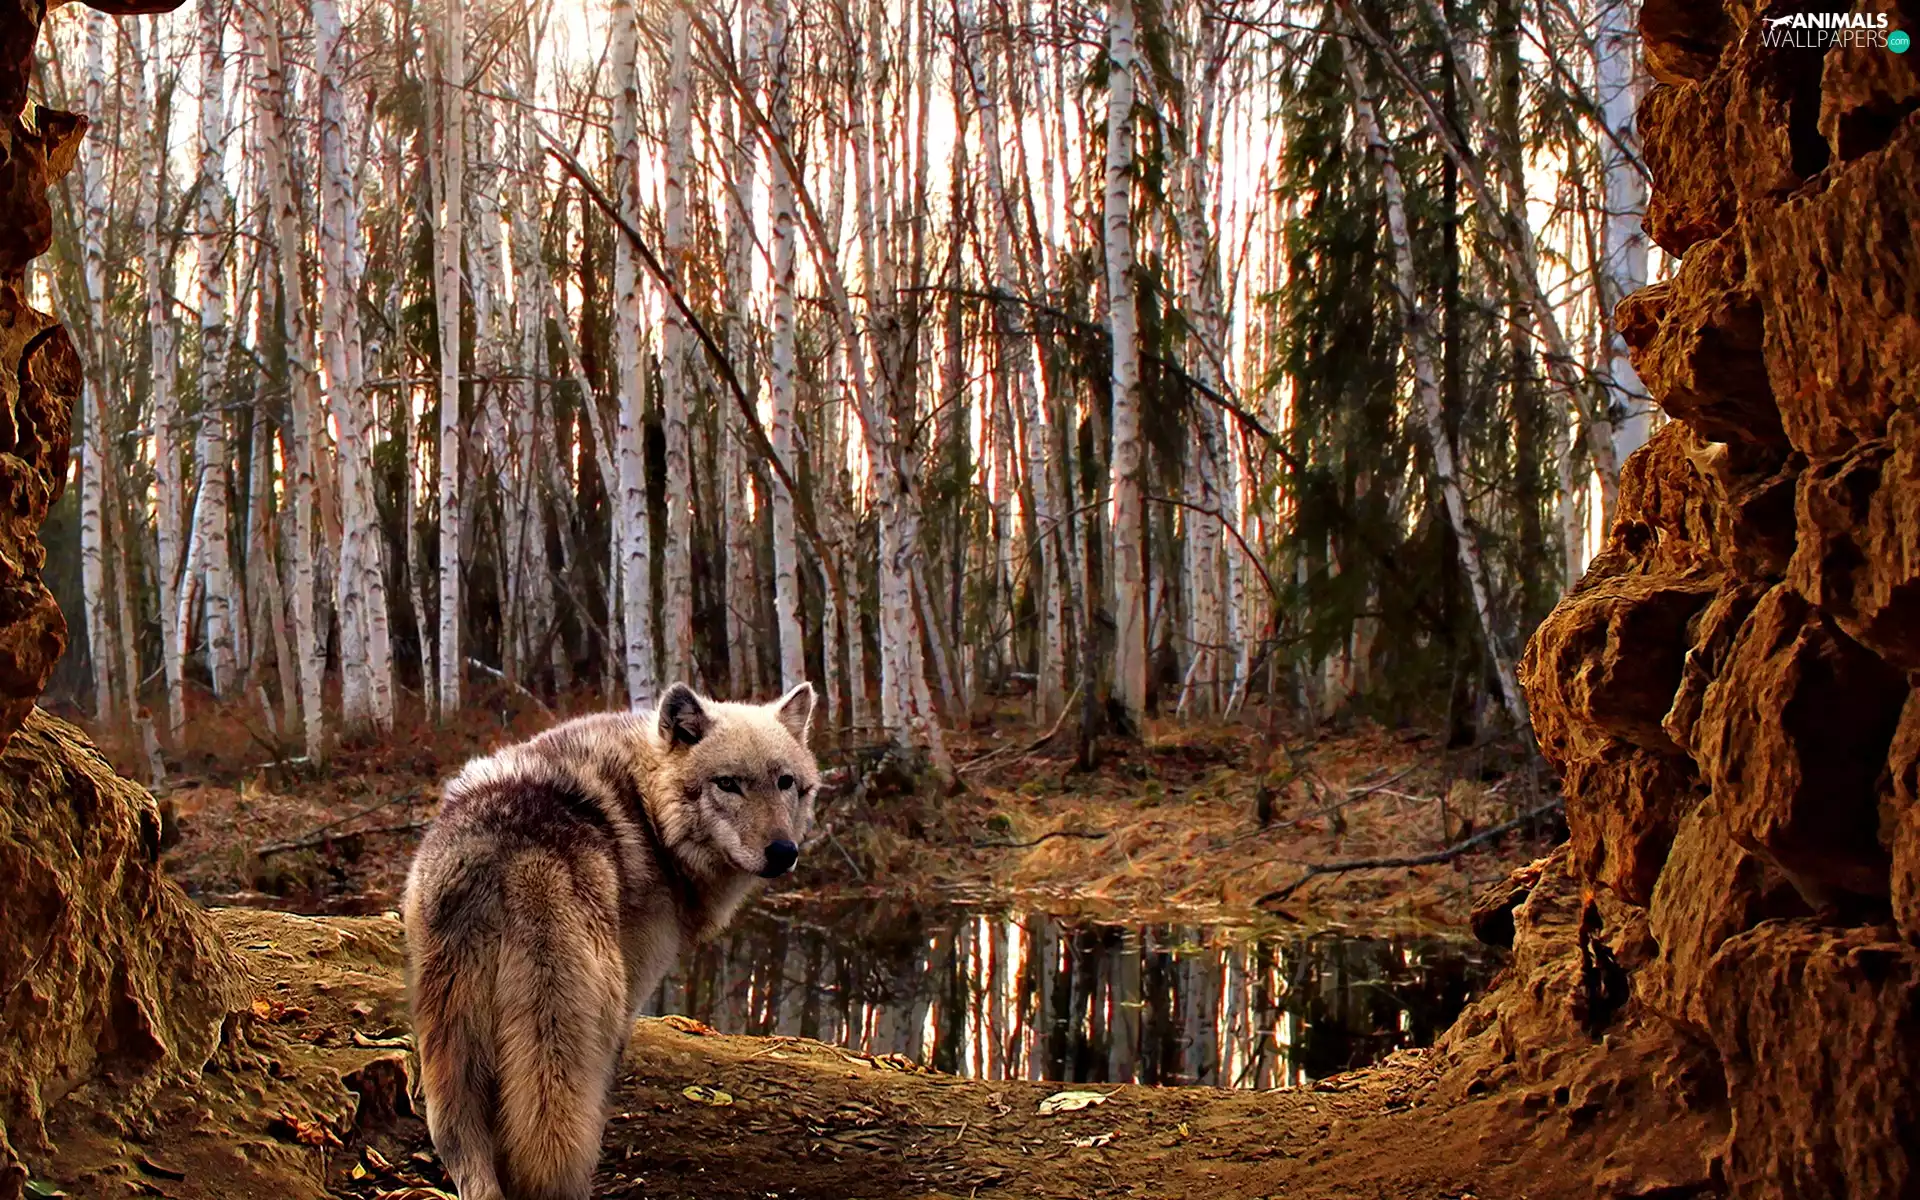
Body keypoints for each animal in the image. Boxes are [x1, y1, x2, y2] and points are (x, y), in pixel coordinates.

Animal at [403, 681, 820, 1200]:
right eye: (727, 784)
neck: (648, 812)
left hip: (451, 1045)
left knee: (464, 1151)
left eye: (785, 782)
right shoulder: (632, 997)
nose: (784, 852)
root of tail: (513, 857)